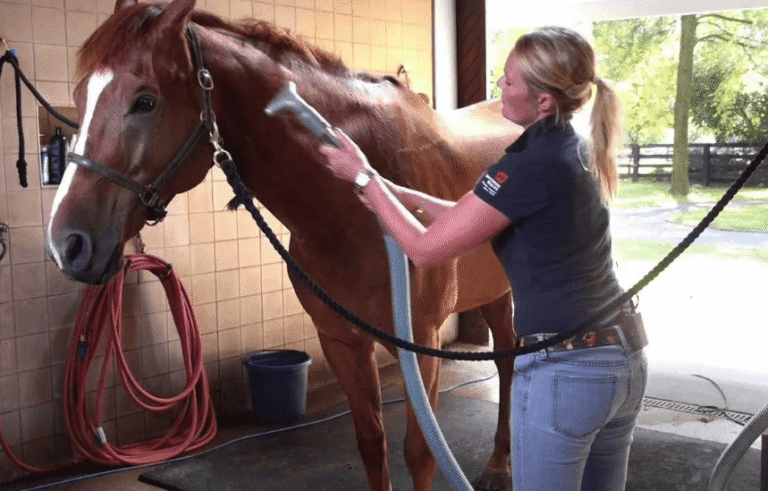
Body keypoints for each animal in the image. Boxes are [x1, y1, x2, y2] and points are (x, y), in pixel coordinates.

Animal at [44, 0, 523, 489]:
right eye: (79, 98)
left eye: (145, 101)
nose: (67, 244)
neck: (351, 216)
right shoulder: (340, 341)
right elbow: (372, 443)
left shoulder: (422, 345)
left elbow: (421, 452)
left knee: (510, 364)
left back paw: (498, 465)